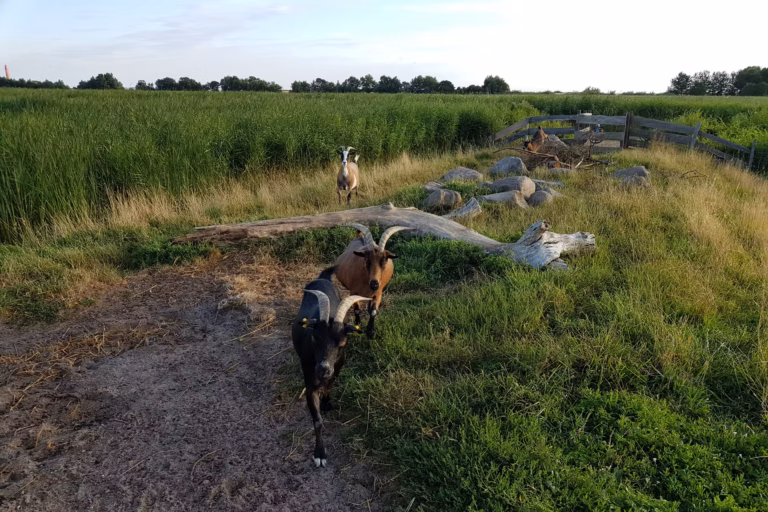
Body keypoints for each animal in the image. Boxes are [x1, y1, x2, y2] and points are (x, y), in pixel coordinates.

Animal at [291, 266, 370, 468]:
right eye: (315, 338)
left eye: (342, 342)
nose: (323, 369)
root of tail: (323, 277)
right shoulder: (309, 380)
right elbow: (317, 420)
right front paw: (319, 454)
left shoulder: (337, 367)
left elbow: (330, 385)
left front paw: (327, 403)